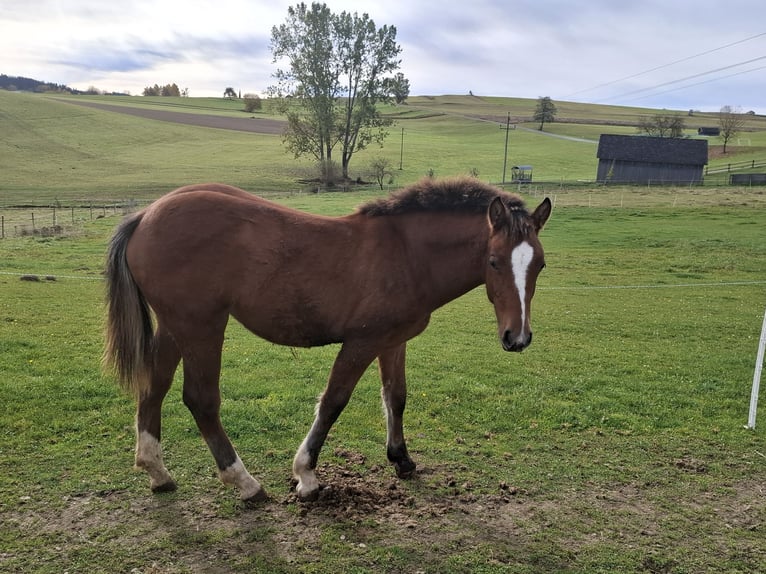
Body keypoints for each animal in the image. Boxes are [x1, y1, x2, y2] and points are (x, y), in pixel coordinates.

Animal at [103, 177, 551, 502]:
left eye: (540, 265)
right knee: (200, 400)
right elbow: (334, 401)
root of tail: (146, 214)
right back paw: (245, 482)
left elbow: (396, 396)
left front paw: (401, 459)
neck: (406, 253)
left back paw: (157, 471)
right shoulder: (362, 342)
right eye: (493, 261)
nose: (517, 337)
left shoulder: (393, 340)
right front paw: (306, 475)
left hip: (174, 326)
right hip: (202, 327)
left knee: (154, 386)